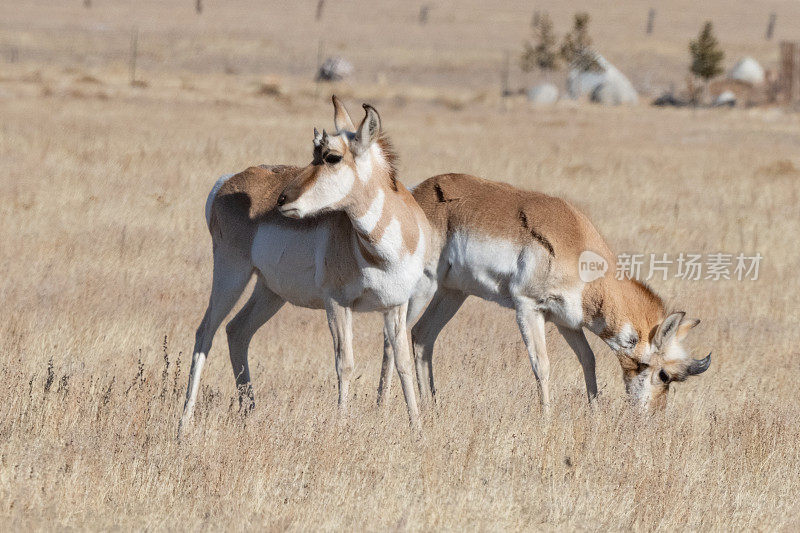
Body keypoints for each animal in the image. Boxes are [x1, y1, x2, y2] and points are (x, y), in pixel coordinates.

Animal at [180, 96, 438, 432]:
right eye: (314, 153)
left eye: (331, 157)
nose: (281, 199)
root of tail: (227, 182)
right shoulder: (337, 304)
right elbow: (345, 363)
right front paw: (342, 425)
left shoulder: (396, 306)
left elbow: (402, 362)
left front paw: (417, 429)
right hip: (231, 275)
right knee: (205, 333)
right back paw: (184, 423)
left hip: (270, 291)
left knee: (236, 330)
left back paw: (250, 413)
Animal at [378, 172, 708, 410]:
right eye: (664, 374)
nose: (652, 416)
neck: (577, 246)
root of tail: (416, 193)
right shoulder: (528, 308)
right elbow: (542, 364)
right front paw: (547, 417)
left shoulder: (566, 321)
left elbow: (588, 360)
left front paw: (595, 412)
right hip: (422, 287)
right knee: (393, 338)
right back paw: (383, 406)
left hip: (452, 293)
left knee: (422, 336)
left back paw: (431, 405)